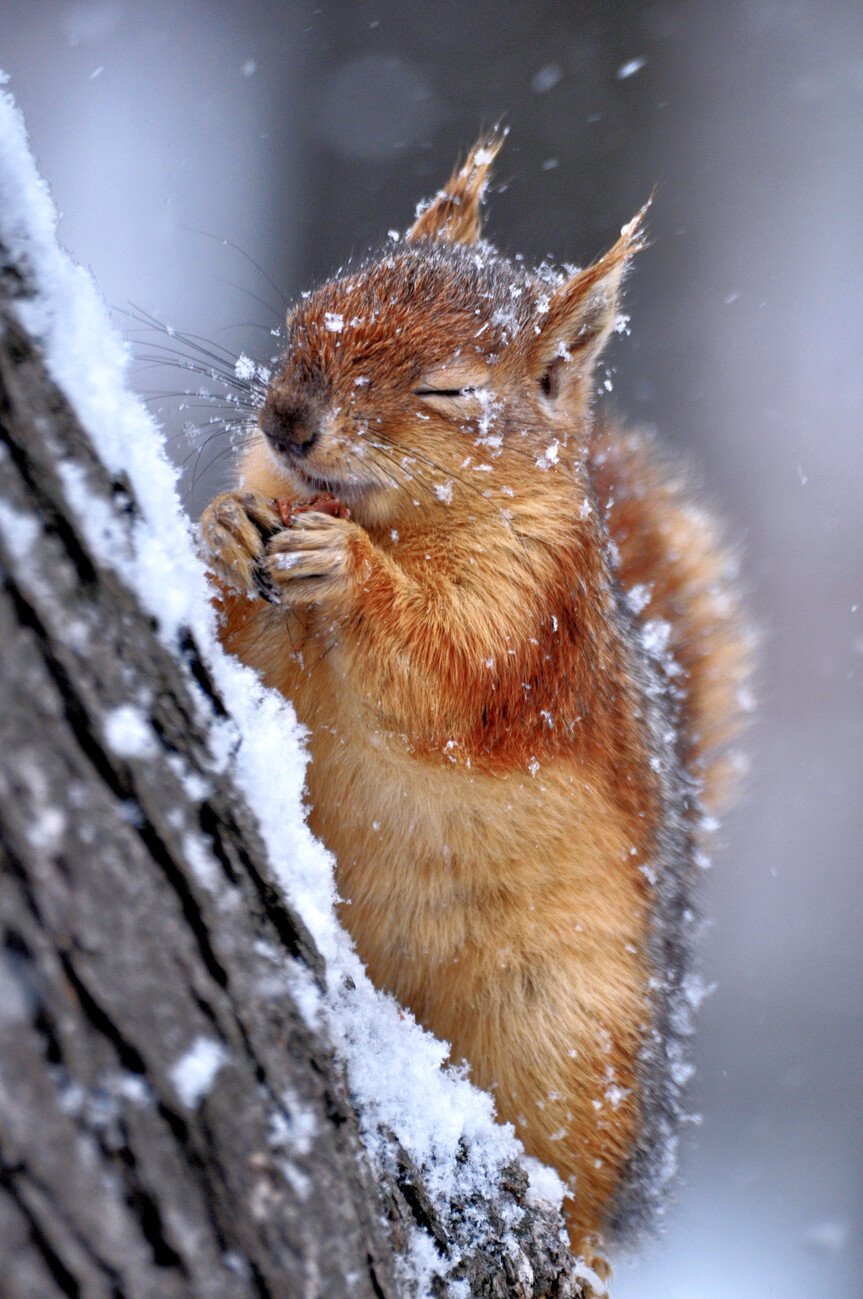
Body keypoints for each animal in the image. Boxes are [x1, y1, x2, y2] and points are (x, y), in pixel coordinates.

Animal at [200, 134, 748, 1278]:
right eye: (310, 309)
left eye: (449, 389)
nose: (286, 421)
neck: (391, 519)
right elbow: (245, 633)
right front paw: (227, 523)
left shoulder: (530, 626)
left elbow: (446, 672)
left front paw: (352, 575)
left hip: (560, 1031)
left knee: (577, 1192)